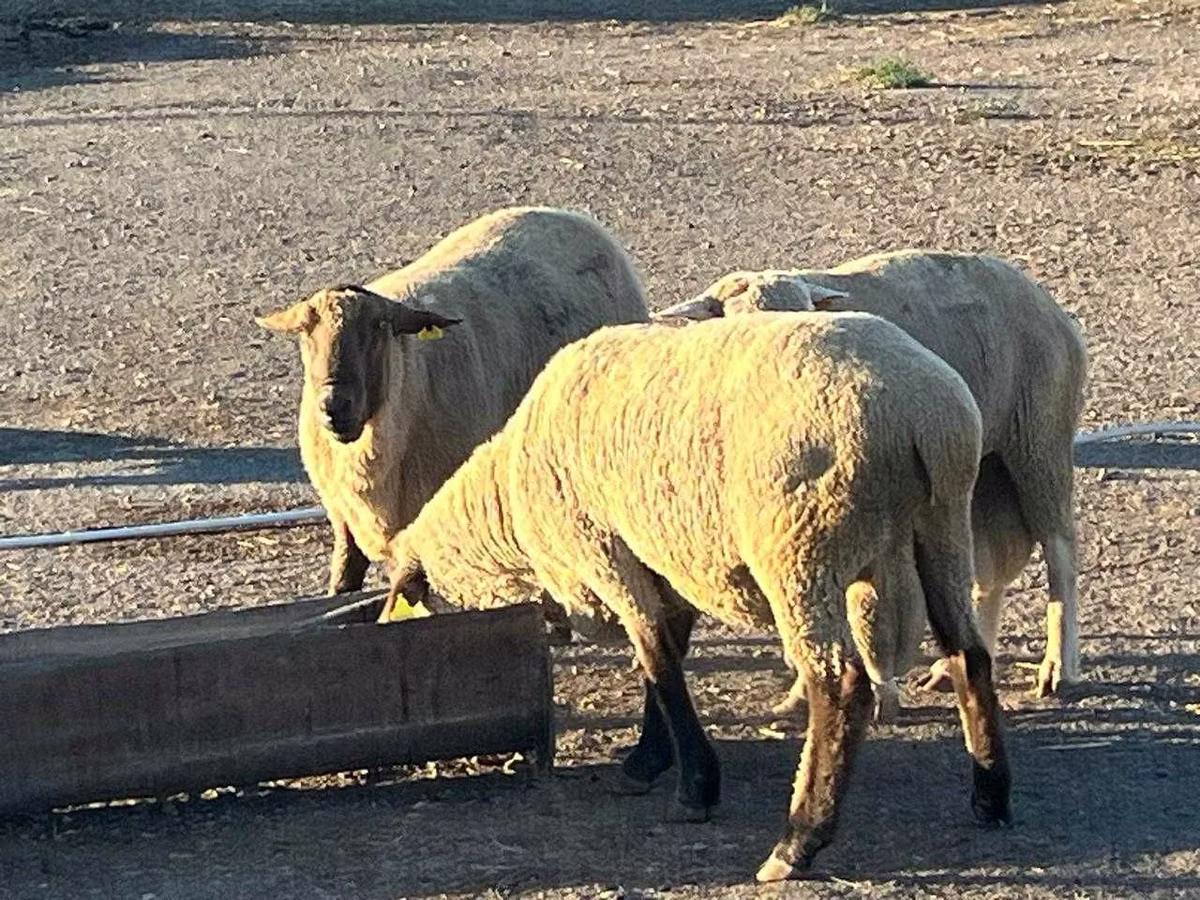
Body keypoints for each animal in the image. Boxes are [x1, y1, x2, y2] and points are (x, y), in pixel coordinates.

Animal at [256, 206, 649, 606]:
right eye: (306, 333)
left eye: (380, 328)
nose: (334, 406)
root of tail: (569, 216)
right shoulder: (345, 519)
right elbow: (343, 583)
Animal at [380, 311, 1012, 882]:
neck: (508, 500)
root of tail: (920, 413)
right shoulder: (664, 561)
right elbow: (667, 657)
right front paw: (648, 759)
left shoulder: (608, 553)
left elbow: (656, 661)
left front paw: (695, 786)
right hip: (941, 524)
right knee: (969, 655)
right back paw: (990, 797)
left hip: (800, 548)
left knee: (841, 685)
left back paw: (798, 841)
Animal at [658, 250, 1087, 701]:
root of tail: (1046, 303)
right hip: (983, 466)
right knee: (987, 566)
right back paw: (955, 666)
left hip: (1040, 438)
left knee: (1060, 549)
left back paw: (1058, 666)